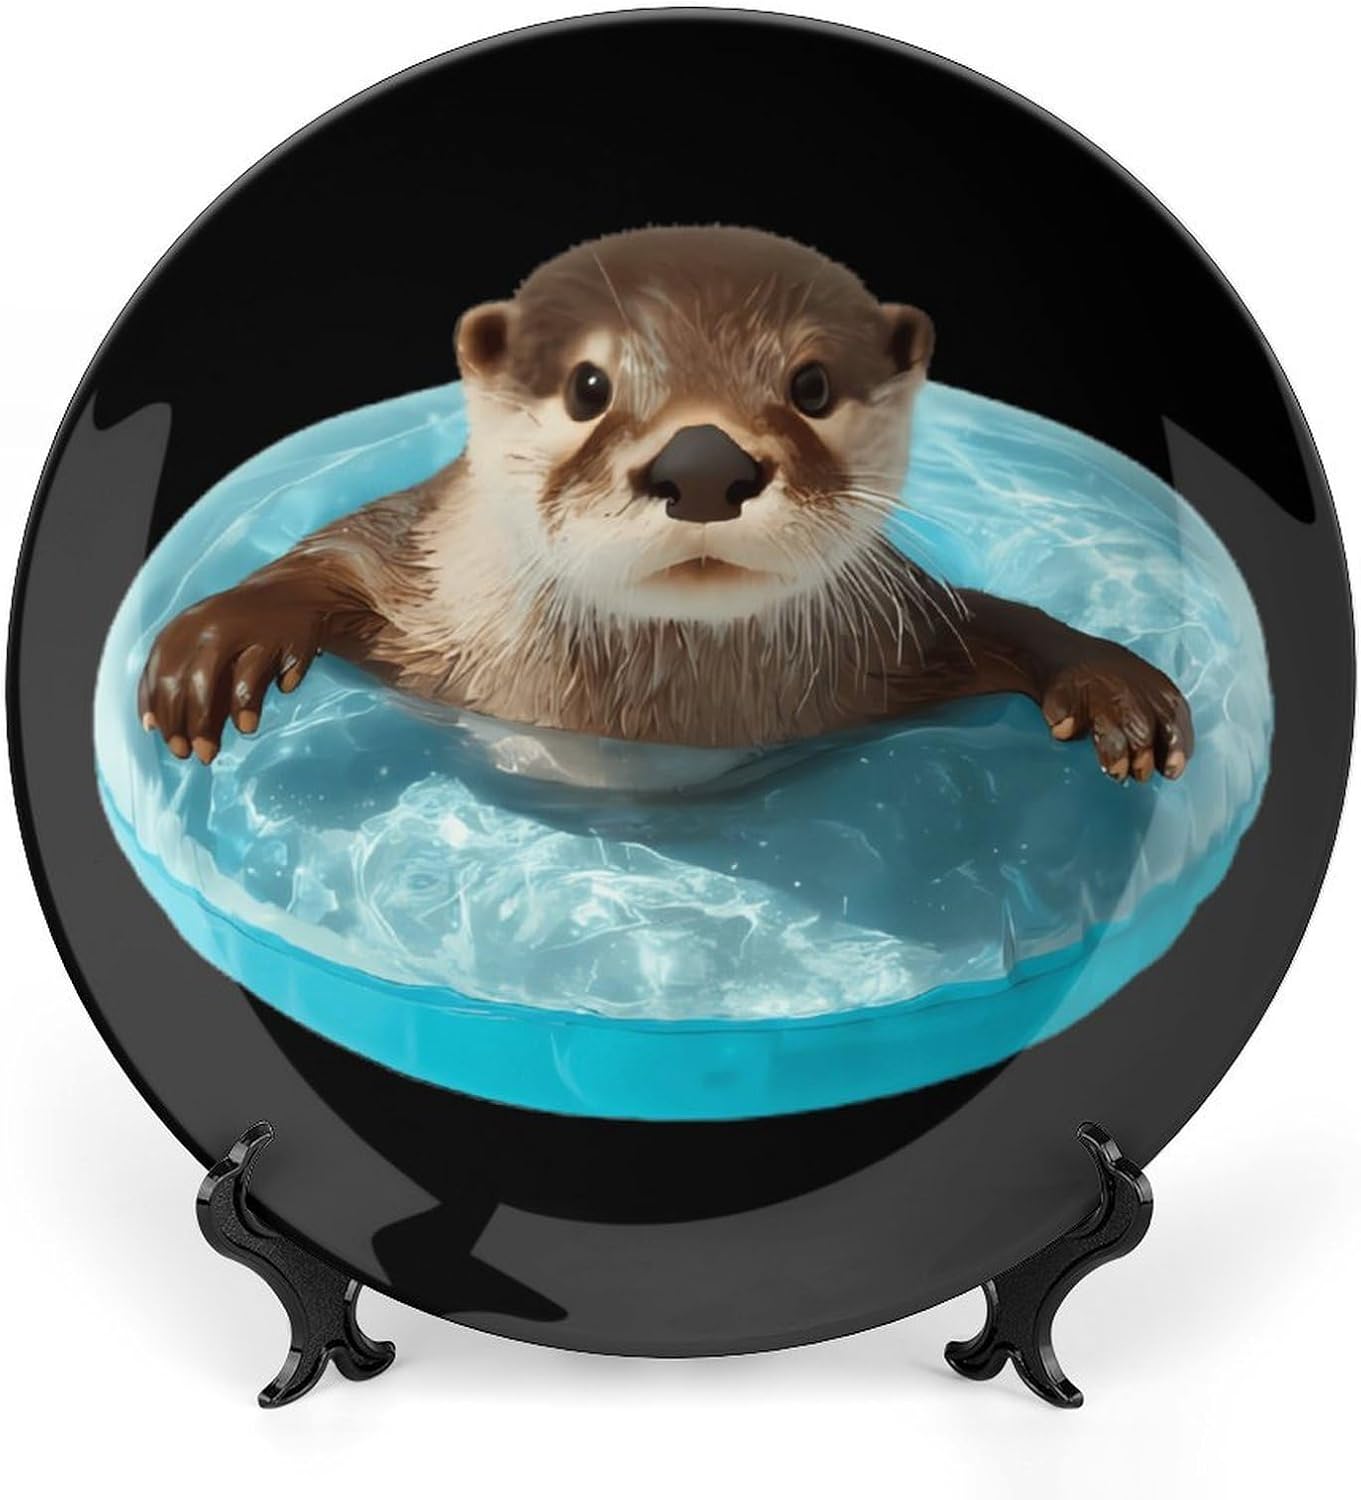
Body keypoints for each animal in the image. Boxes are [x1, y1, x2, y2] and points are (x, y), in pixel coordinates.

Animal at [139, 225, 1193, 783]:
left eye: (811, 385)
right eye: (588, 386)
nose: (702, 465)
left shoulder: (893, 636)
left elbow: (995, 621)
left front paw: (1114, 688)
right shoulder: (421, 572)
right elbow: (334, 554)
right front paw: (215, 648)